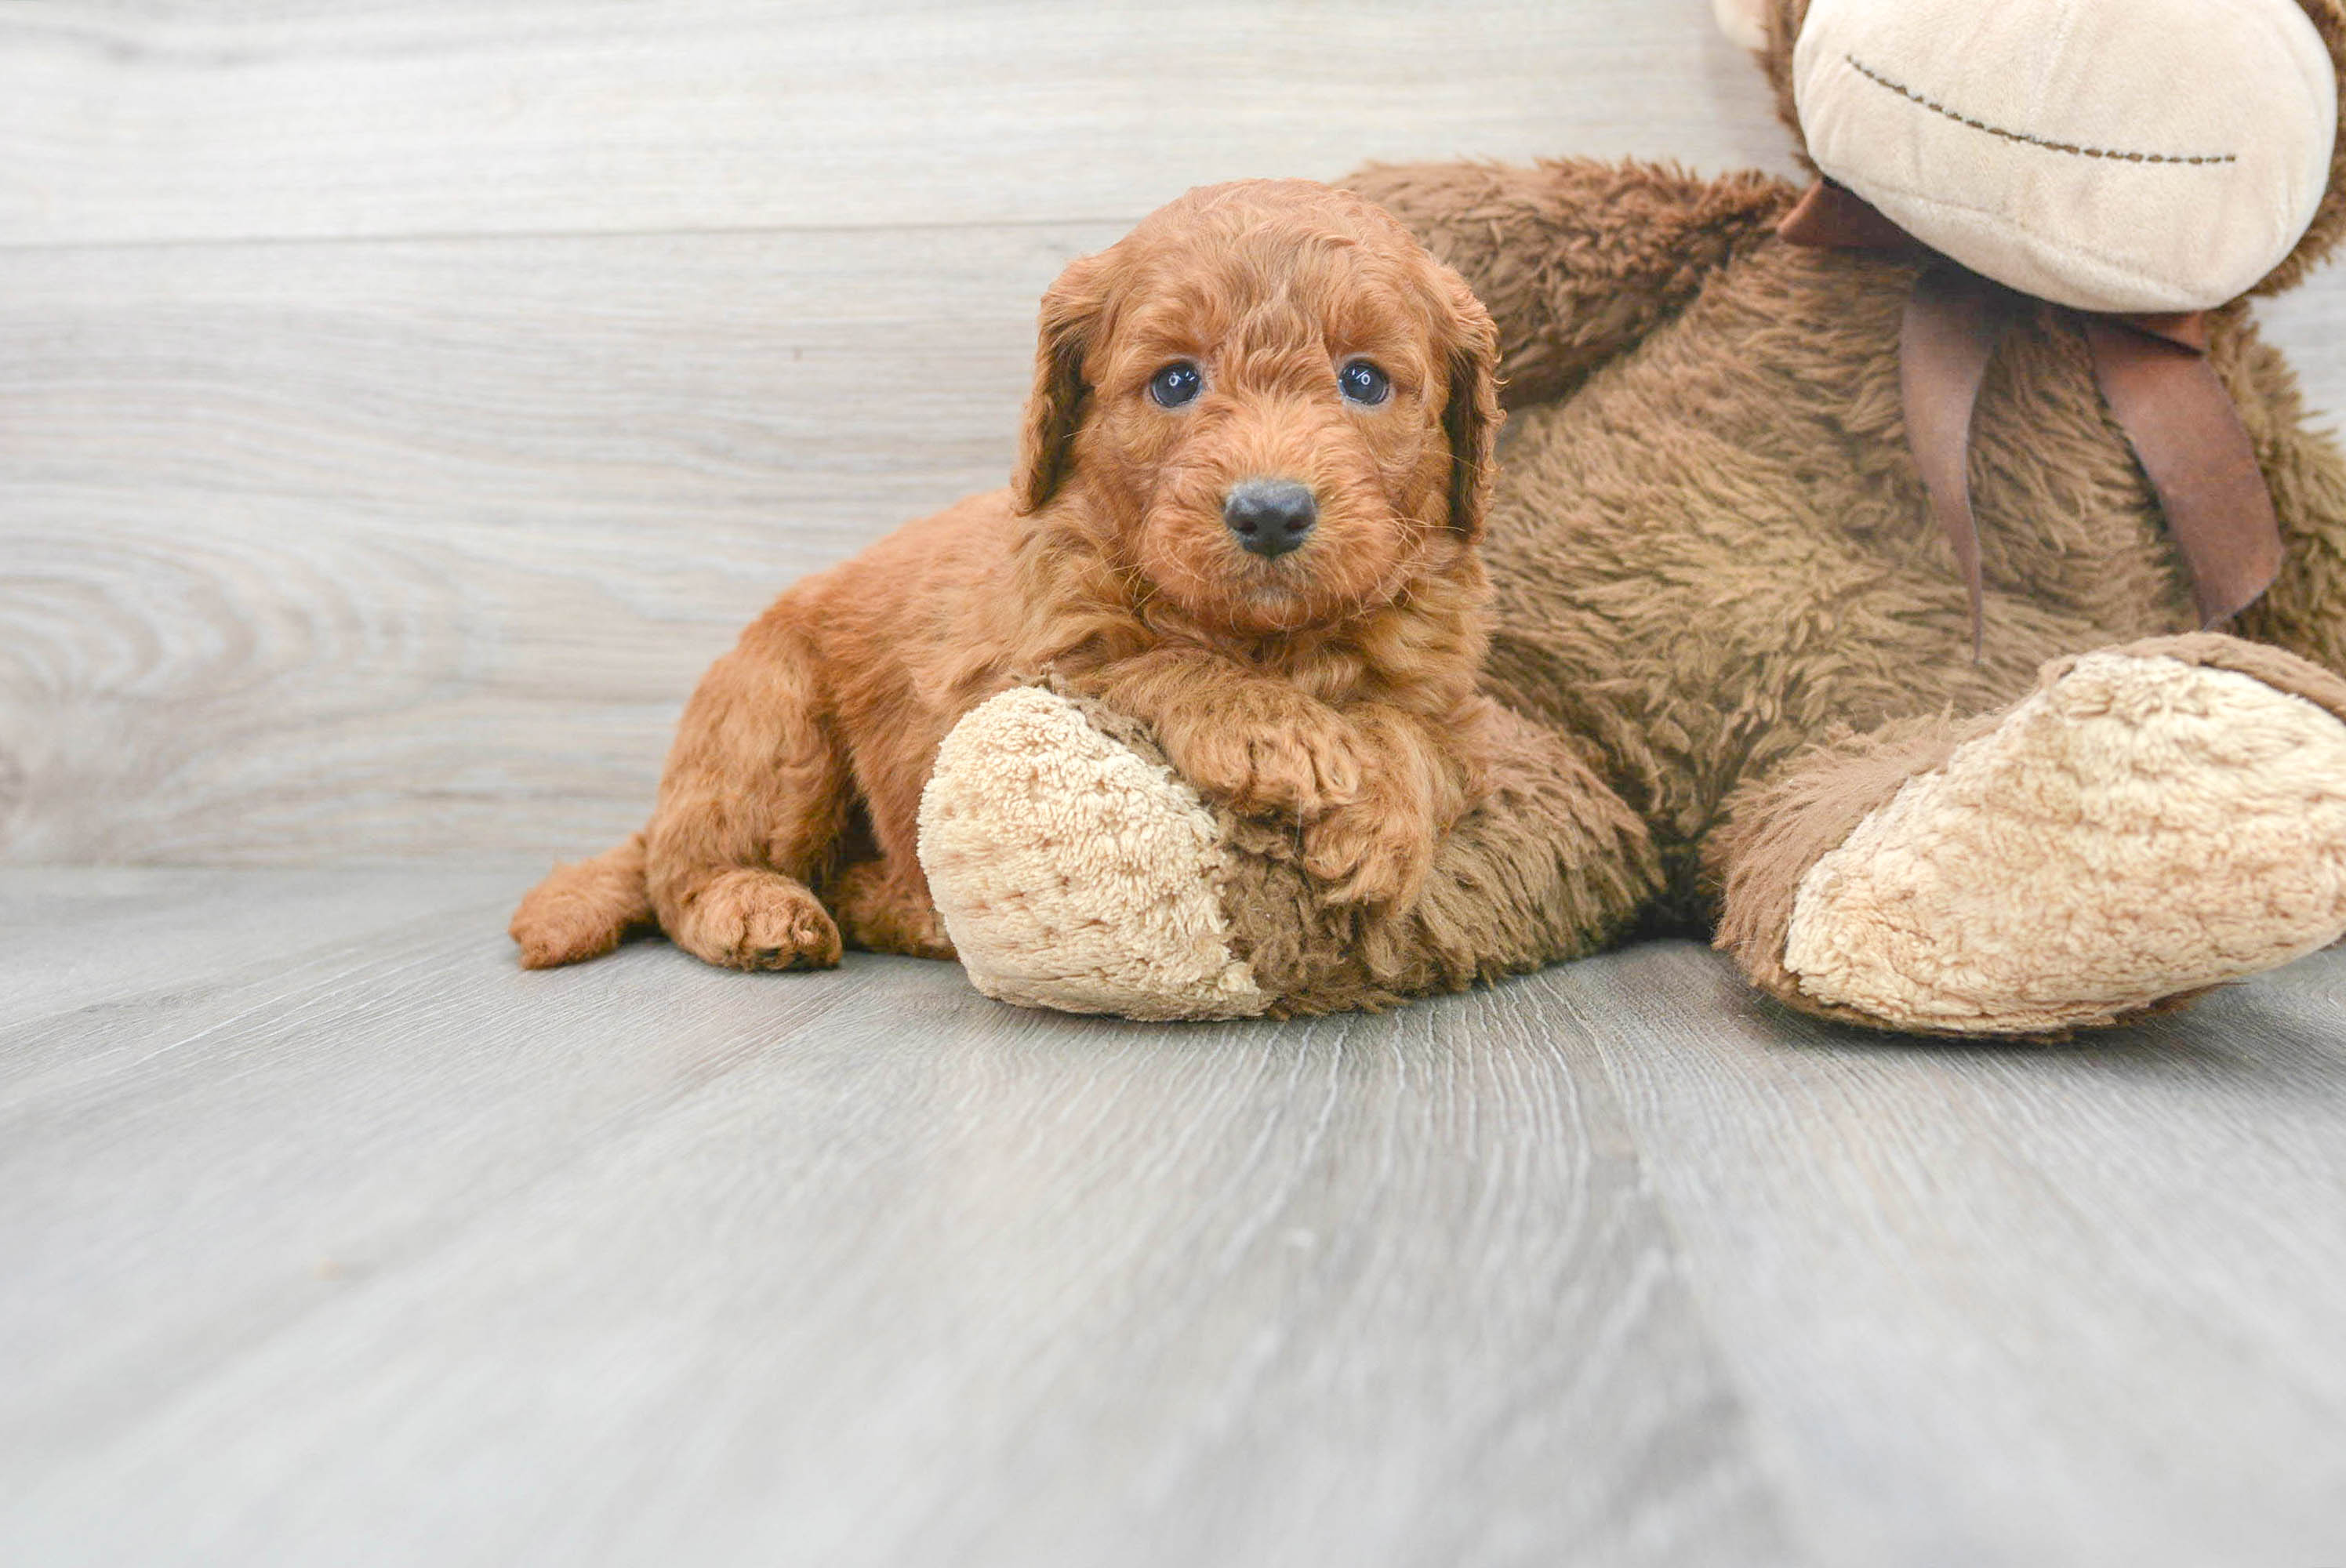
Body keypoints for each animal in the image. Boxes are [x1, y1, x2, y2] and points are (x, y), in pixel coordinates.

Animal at [511, 177, 1501, 971]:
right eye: (1175, 381)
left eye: (1364, 381)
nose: (1269, 512)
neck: (1265, 639)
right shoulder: (1012, 672)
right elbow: (1147, 662)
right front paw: (1276, 730)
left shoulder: (1455, 696)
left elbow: (1423, 735)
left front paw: (1383, 815)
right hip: (772, 723)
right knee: (683, 870)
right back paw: (758, 910)